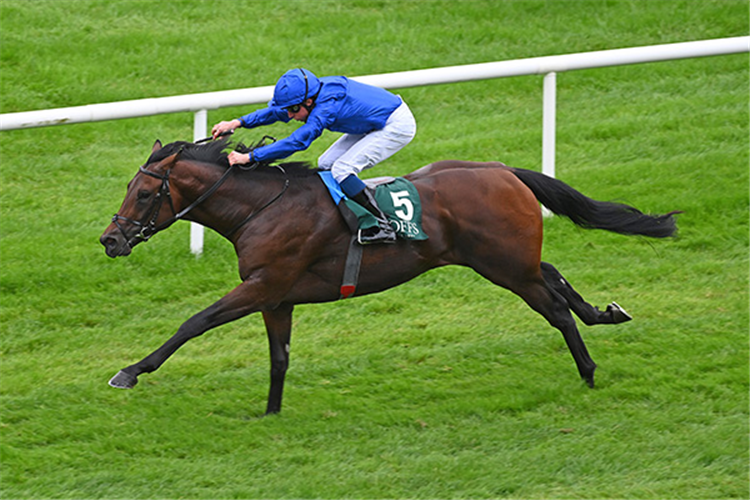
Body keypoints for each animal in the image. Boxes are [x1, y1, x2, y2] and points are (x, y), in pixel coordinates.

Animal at [100, 137, 680, 414]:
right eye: (130, 188)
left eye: (146, 193)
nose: (110, 240)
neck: (262, 208)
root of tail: (503, 171)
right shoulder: (278, 297)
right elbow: (279, 358)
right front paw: (270, 414)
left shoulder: (263, 284)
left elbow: (193, 323)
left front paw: (129, 371)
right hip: (513, 259)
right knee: (556, 275)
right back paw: (606, 313)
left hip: (504, 267)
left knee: (555, 308)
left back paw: (588, 371)